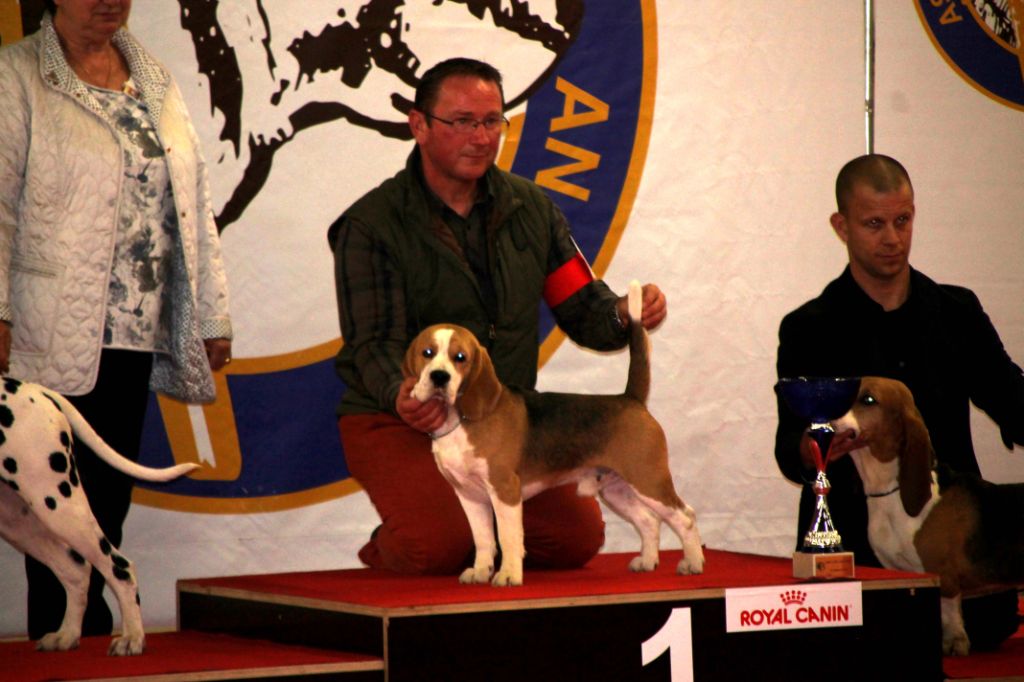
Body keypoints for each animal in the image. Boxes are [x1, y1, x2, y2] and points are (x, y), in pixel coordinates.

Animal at [0, 376, 198, 655]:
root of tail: (36, 389)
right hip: (16, 519)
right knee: (75, 570)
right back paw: (67, 635)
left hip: (56, 504)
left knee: (119, 568)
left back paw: (132, 638)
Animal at [401, 280, 704, 585]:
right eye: (427, 353)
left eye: (460, 358)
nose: (439, 377)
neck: (461, 420)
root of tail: (631, 398)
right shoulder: (469, 495)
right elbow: (484, 539)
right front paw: (481, 571)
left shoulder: (505, 490)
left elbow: (508, 538)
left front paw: (508, 575)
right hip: (616, 489)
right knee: (649, 520)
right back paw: (648, 561)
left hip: (648, 480)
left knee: (685, 517)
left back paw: (693, 562)